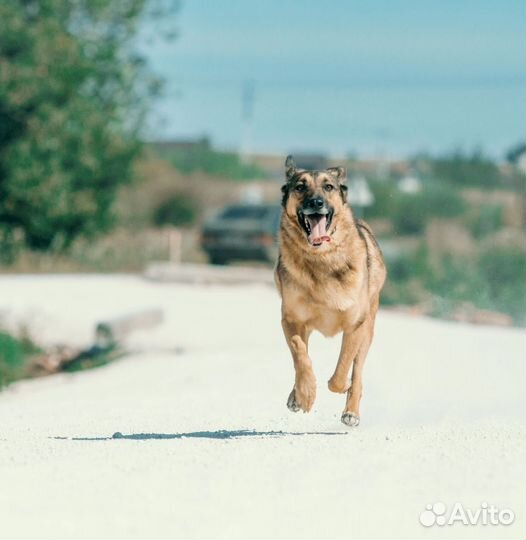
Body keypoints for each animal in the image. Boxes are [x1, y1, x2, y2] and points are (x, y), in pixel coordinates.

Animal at [276, 155, 388, 426]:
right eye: (300, 187)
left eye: (328, 187)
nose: (316, 203)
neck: (321, 258)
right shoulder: (291, 320)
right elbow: (300, 356)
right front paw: (305, 394)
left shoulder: (355, 325)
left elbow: (342, 370)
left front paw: (340, 385)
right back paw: (296, 395)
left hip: (368, 330)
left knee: (357, 370)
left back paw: (351, 411)